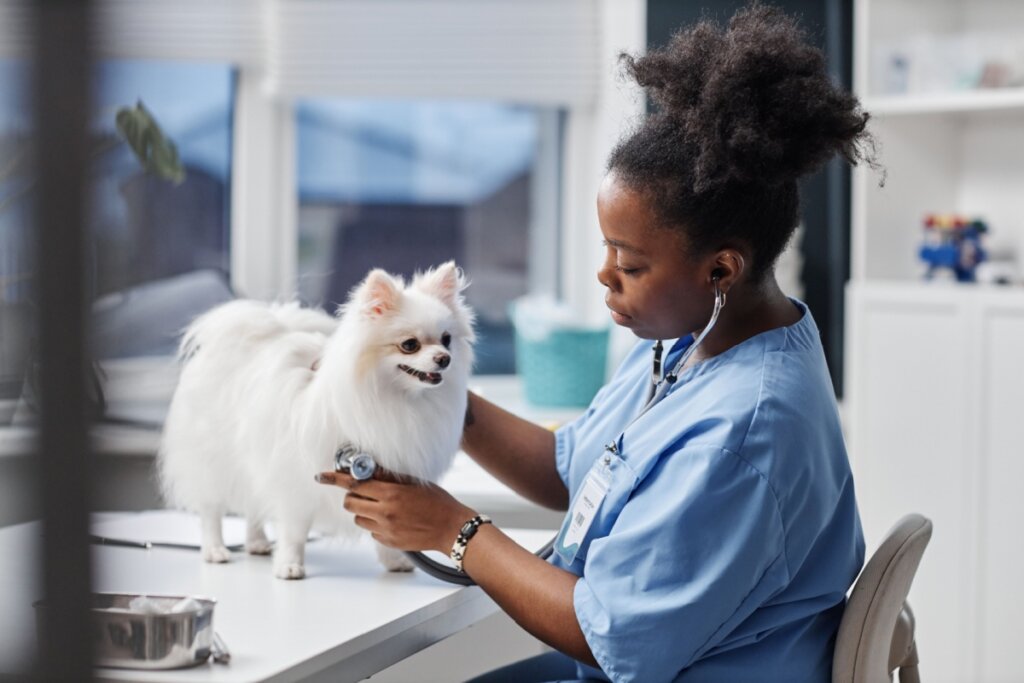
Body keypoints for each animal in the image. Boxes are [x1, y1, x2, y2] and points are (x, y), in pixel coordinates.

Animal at [156, 264, 475, 581]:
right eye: (410, 345)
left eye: (446, 339)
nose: (443, 358)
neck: (396, 400)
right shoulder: (294, 479)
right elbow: (294, 530)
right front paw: (289, 565)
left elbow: (383, 532)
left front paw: (393, 560)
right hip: (214, 461)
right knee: (211, 510)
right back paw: (215, 550)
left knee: (252, 505)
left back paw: (257, 542)